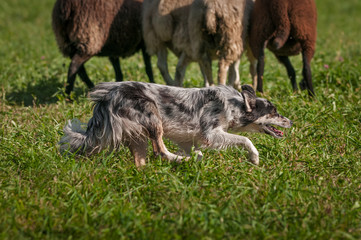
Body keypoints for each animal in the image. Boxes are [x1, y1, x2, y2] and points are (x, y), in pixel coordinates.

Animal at [58, 81, 290, 166]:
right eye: (274, 112)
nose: (291, 121)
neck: (235, 105)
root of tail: (107, 97)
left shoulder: (188, 138)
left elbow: (194, 149)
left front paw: (194, 157)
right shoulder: (212, 134)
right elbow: (245, 139)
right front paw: (254, 158)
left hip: (138, 134)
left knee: (141, 160)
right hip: (151, 114)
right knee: (159, 150)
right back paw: (182, 160)